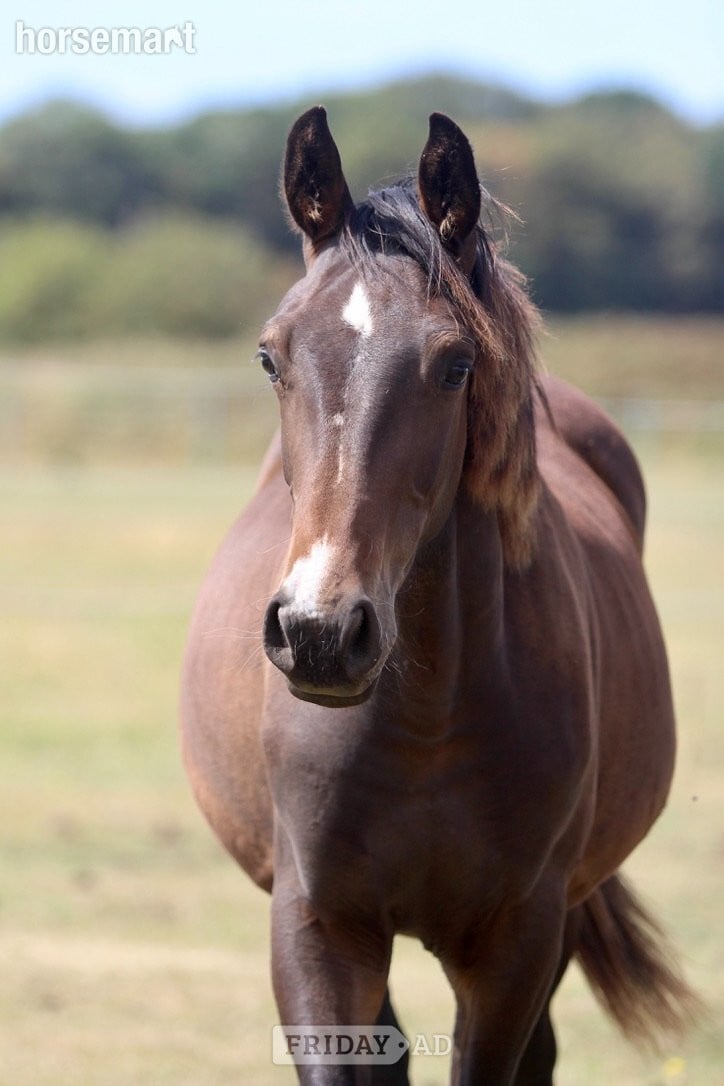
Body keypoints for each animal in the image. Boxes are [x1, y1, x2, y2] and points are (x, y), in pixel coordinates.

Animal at [180, 107, 695, 1084]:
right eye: (271, 356)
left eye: (455, 365)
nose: (318, 630)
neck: (426, 721)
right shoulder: (317, 927)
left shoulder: (518, 940)